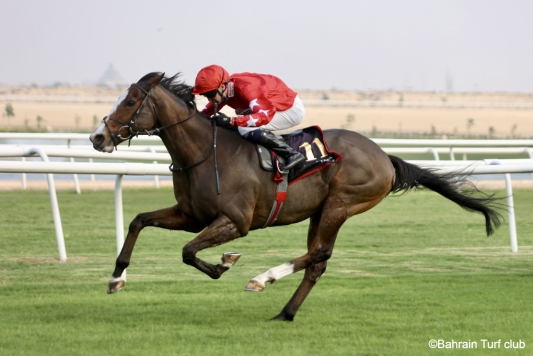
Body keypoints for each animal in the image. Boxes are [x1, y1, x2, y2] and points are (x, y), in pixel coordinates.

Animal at [89, 72, 500, 322]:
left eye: (130, 102)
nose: (97, 137)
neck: (205, 152)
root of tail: (385, 156)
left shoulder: (235, 222)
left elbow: (189, 252)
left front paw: (225, 263)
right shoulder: (191, 215)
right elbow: (138, 221)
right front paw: (116, 278)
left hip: (341, 204)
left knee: (319, 254)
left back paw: (263, 278)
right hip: (321, 211)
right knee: (318, 261)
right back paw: (285, 312)